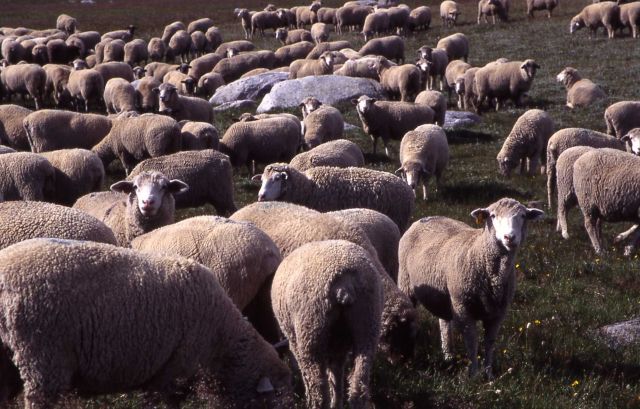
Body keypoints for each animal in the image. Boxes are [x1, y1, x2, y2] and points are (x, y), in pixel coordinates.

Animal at [254, 163, 415, 231]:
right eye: (261, 180)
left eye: (277, 178)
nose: (261, 196)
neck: (308, 187)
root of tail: (408, 189)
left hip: (399, 219)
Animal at [272, 240, 382, 409]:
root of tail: (345, 283)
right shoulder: (338, 346)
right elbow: (336, 375)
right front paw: (336, 403)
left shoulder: (296, 342)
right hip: (368, 326)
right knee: (359, 386)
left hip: (311, 333)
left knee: (318, 390)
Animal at [398, 198, 543, 378]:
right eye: (493, 216)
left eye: (523, 216)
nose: (509, 237)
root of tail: (425, 218)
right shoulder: (463, 308)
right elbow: (472, 341)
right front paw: (474, 375)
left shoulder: (498, 313)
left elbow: (490, 342)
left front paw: (489, 374)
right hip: (406, 282)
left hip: (444, 294)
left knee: (444, 323)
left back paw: (448, 355)